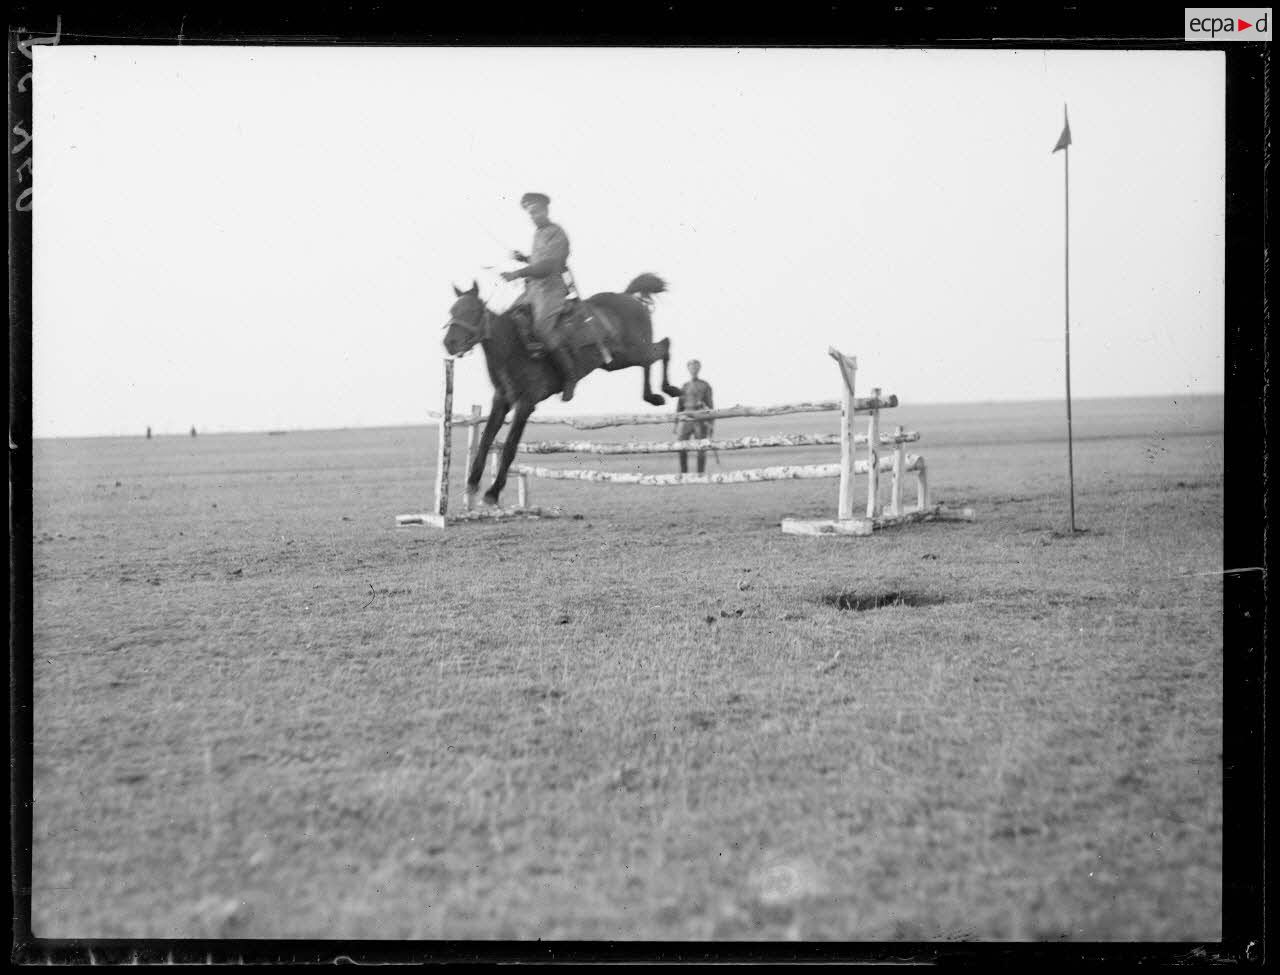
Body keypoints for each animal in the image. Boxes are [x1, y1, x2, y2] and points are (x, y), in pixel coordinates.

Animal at [440, 269, 680, 504]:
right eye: (453, 310)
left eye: (473, 310)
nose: (450, 343)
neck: (514, 345)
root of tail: (629, 297)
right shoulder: (502, 399)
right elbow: (486, 439)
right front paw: (472, 483)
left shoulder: (526, 403)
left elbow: (509, 446)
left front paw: (493, 492)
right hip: (619, 360)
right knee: (652, 357)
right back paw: (653, 395)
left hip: (635, 350)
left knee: (663, 347)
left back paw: (666, 390)